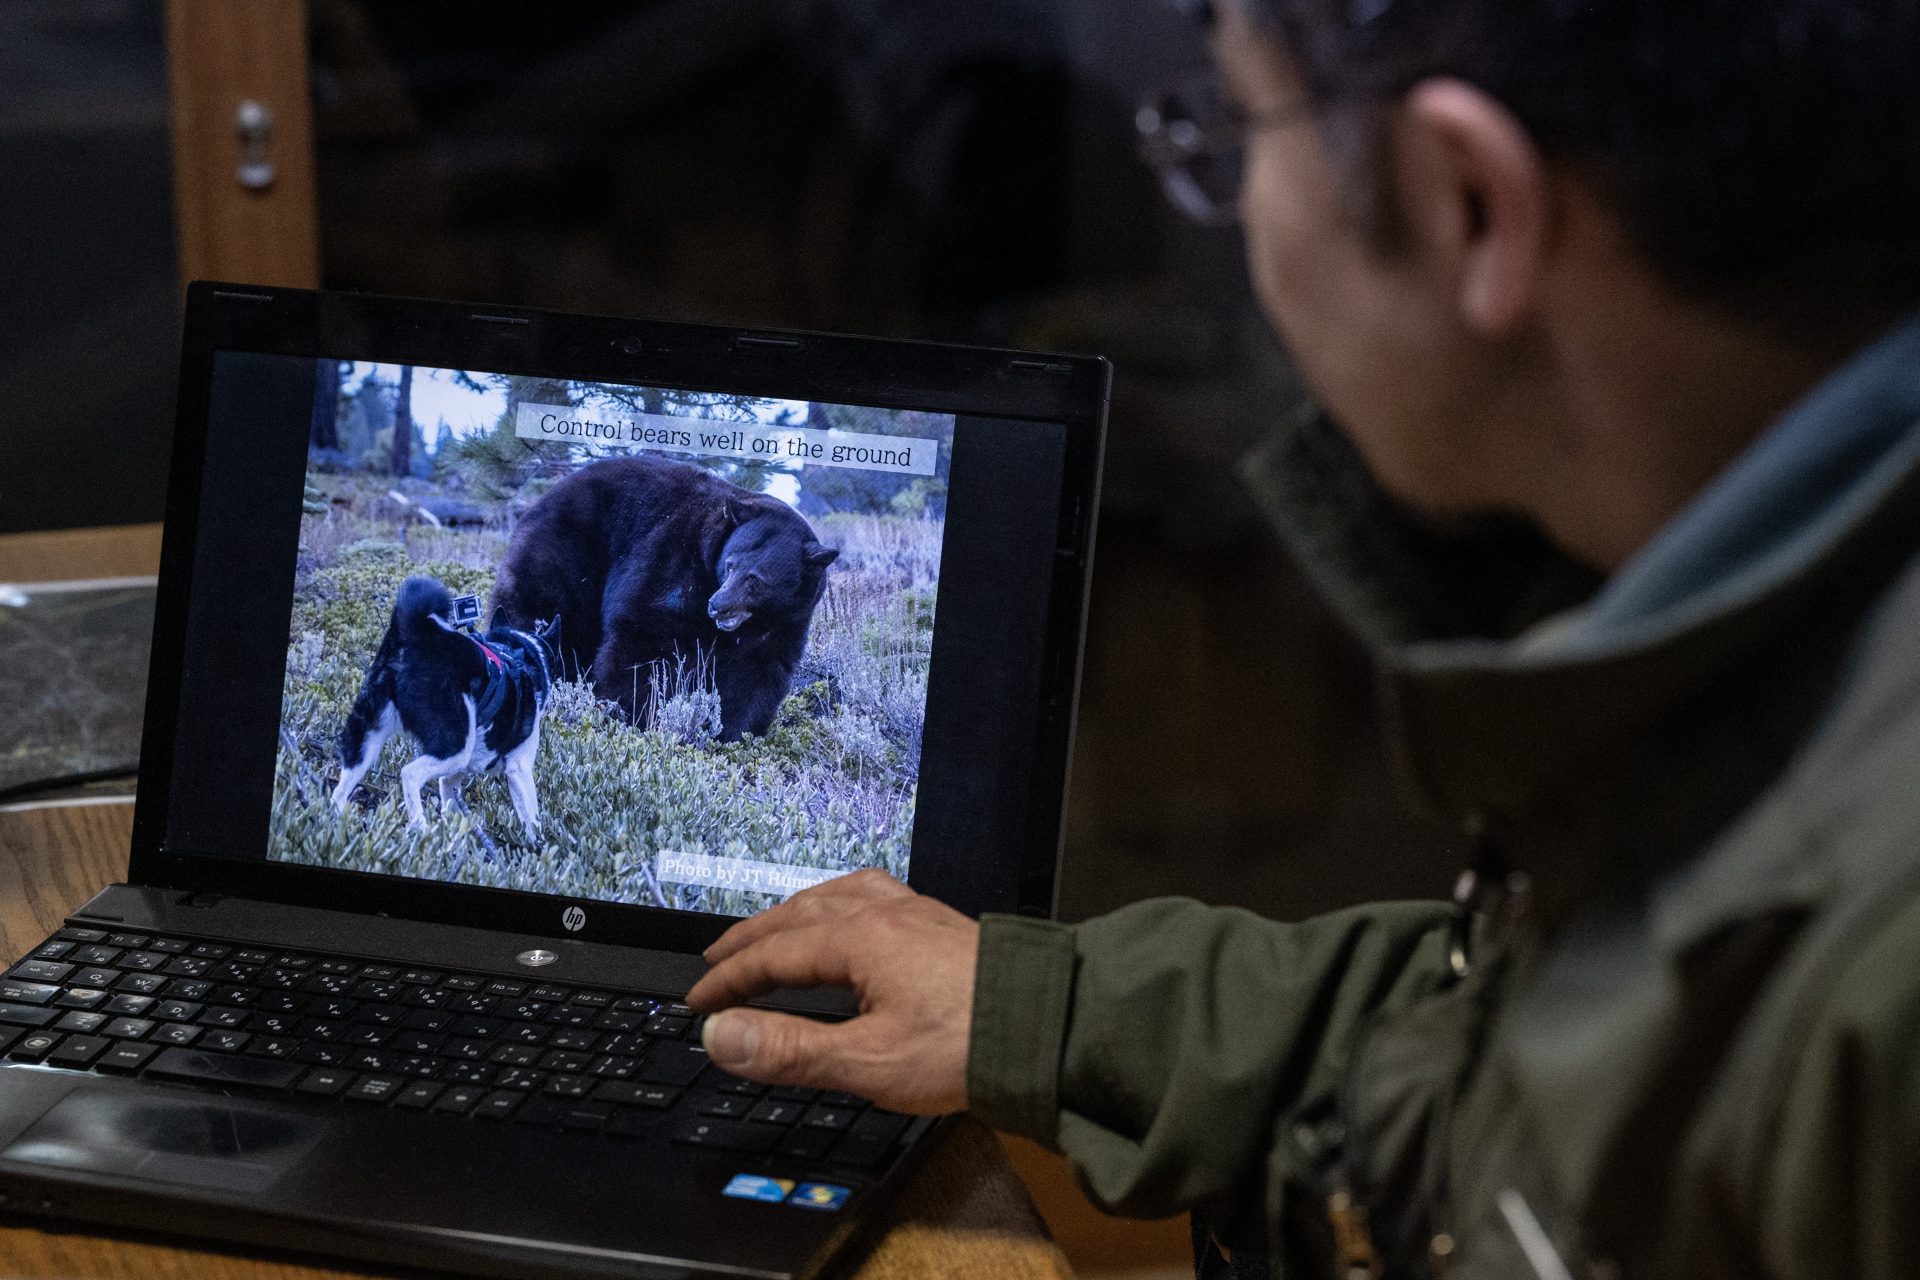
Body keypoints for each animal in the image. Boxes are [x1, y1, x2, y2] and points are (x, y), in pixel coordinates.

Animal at [326, 575, 556, 836]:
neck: (519, 652)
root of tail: (413, 633)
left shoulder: (451, 777)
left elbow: (450, 807)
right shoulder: (520, 768)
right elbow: (533, 821)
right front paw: (537, 844)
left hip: (366, 741)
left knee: (338, 793)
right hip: (455, 745)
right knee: (409, 774)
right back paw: (420, 829)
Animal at [491, 458, 837, 740]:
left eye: (756, 580)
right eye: (730, 564)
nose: (718, 606)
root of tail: (541, 499)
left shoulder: (786, 623)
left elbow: (756, 675)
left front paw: (735, 732)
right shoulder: (674, 562)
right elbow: (645, 638)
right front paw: (640, 714)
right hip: (565, 554)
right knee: (544, 610)